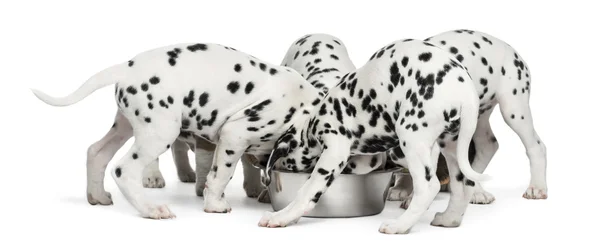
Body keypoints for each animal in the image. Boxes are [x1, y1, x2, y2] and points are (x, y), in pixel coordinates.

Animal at [31, 42, 326, 219]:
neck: (302, 106)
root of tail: (125, 68)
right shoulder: (235, 134)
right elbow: (220, 175)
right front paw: (215, 205)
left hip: (126, 126)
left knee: (96, 152)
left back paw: (97, 196)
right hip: (160, 132)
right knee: (123, 169)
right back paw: (151, 209)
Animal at [258, 38, 492, 233]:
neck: (313, 119)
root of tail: (465, 91)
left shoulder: (334, 151)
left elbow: (307, 191)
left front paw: (282, 216)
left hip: (411, 136)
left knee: (428, 186)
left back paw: (399, 226)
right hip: (451, 145)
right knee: (463, 184)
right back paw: (449, 219)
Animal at [386, 29, 548, 208]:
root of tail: (510, 49)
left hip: (514, 109)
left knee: (536, 146)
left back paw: (536, 187)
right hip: (476, 117)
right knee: (487, 145)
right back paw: (476, 189)